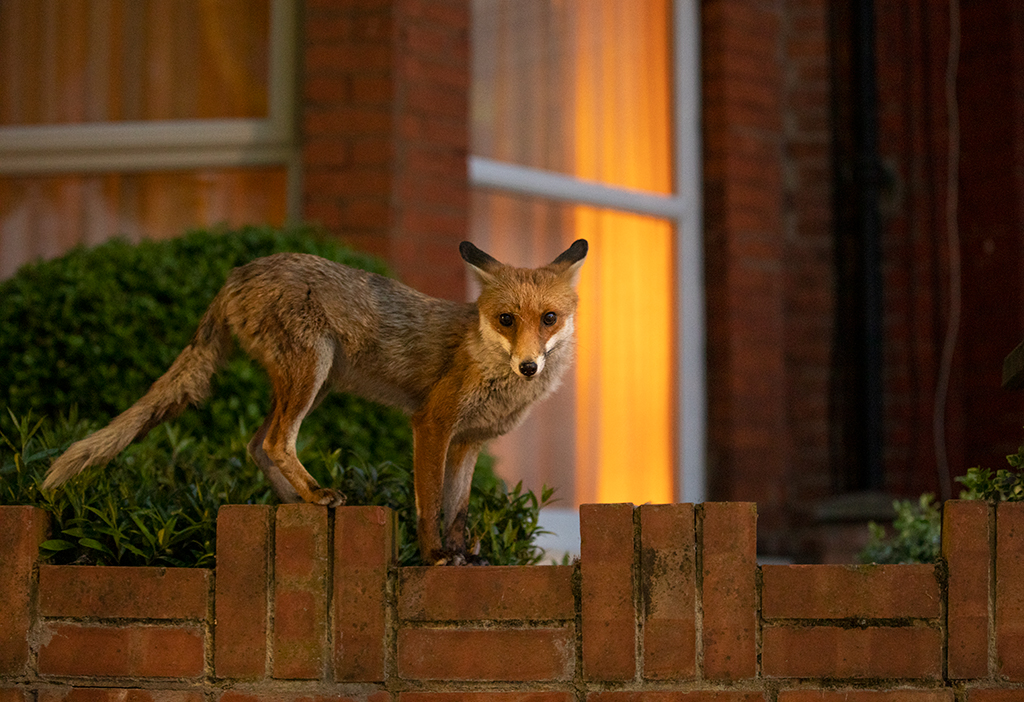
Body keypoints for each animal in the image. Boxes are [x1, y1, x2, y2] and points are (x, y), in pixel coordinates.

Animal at [44, 240, 589, 564]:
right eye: (505, 320)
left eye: (549, 318)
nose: (529, 366)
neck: (486, 360)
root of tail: (239, 271)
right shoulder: (432, 423)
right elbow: (431, 503)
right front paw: (434, 554)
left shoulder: (468, 441)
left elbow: (457, 506)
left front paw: (462, 555)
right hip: (312, 370)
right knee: (277, 441)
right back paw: (313, 494)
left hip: (314, 382)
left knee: (256, 444)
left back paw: (294, 503)